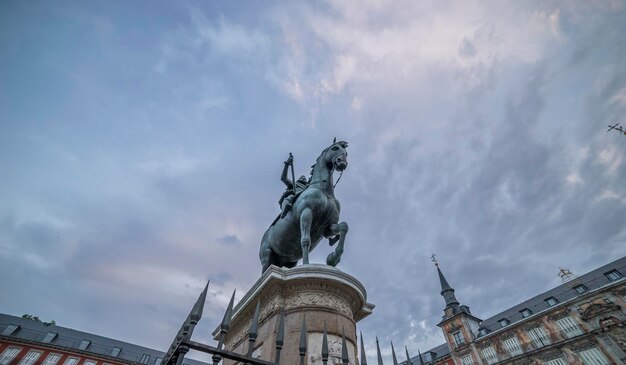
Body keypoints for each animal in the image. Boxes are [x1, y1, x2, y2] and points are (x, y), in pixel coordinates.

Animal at [258, 141, 346, 272]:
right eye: (335, 148)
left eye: (346, 152)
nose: (342, 162)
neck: (324, 191)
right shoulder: (306, 213)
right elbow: (305, 240)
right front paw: (306, 264)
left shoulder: (327, 227)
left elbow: (343, 226)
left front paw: (333, 258)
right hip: (267, 257)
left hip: (289, 261)